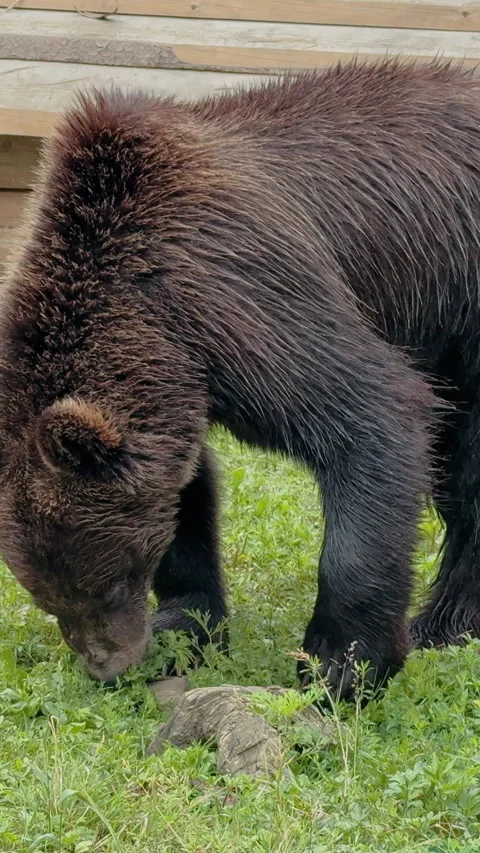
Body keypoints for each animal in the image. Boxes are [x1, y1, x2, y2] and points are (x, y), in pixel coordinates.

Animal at [1, 56, 478, 699]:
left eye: (112, 578)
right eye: (46, 596)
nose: (110, 666)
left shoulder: (241, 297)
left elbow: (373, 416)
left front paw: (342, 663)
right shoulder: (180, 381)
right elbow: (188, 491)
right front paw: (184, 628)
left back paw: (441, 623)